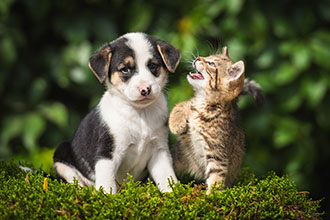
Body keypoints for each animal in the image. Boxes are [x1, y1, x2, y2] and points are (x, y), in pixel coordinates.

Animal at [53, 31, 180, 193]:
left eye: (152, 66)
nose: (145, 89)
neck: (140, 114)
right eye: (125, 69)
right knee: (74, 180)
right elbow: (107, 184)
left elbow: (167, 177)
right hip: (61, 155)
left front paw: (174, 193)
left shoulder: (159, 150)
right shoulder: (107, 153)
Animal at [169, 46, 262, 194]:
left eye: (211, 64)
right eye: (208, 56)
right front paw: (176, 122)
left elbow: (216, 176)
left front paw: (210, 196)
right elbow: (183, 104)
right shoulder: (188, 130)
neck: (205, 103)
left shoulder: (217, 154)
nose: (198, 58)